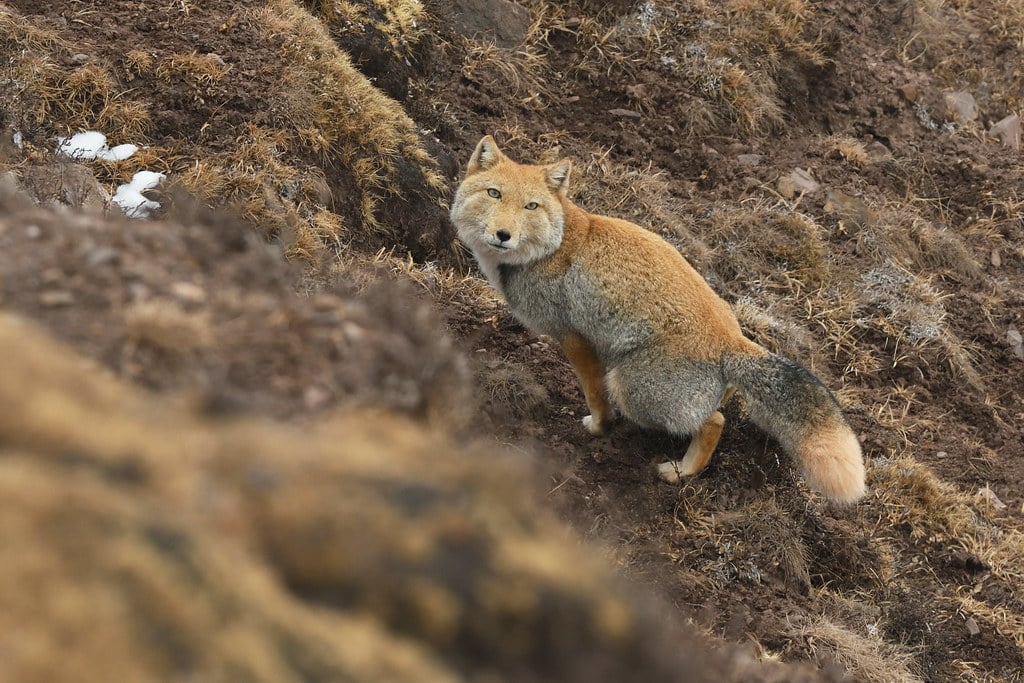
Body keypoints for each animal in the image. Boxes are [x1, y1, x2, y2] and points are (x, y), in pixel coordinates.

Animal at [450, 135, 866, 503]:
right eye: (494, 194)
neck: (553, 246)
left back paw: (681, 471)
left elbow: (594, 395)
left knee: (714, 422)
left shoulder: (575, 339)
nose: (503, 234)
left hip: (632, 389)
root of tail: (732, 339)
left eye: (531, 206)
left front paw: (598, 427)